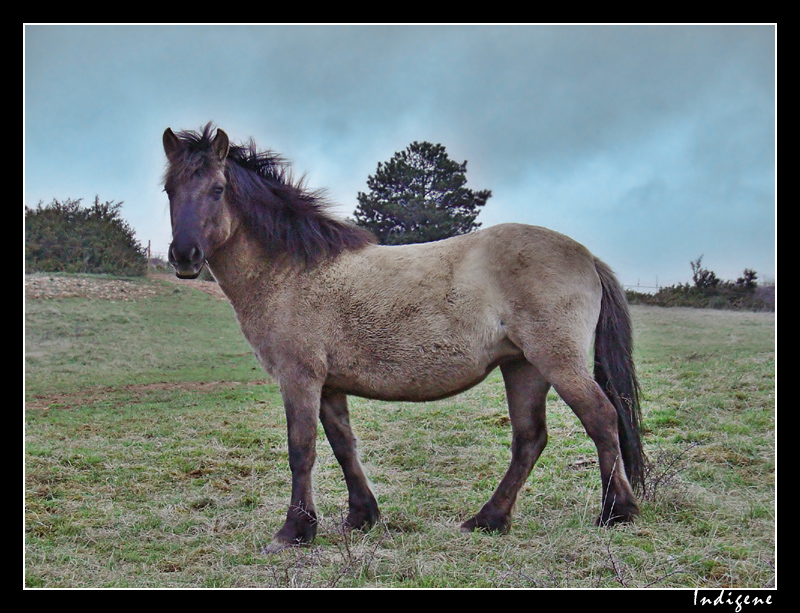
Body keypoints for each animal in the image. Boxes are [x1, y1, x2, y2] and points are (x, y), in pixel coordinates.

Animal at [161, 124, 644, 556]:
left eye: (218, 189)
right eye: (169, 190)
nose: (184, 256)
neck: (292, 271)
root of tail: (587, 255)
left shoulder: (300, 378)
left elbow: (302, 450)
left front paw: (294, 531)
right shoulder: (329, 386)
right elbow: (343, 446)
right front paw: (361, 516)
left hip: (557, 362)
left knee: (601, 419)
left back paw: (616, 512)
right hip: (522, 366)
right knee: (529, 439)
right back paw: (488, 519)